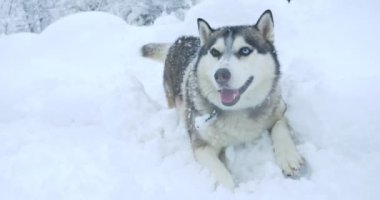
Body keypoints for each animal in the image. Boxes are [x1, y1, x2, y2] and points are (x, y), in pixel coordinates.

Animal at [141, 10, 304, 190]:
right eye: (215, 52)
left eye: (245, 50)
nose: (220, 74)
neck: (238, 110)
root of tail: (179, 40)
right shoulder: (201, 145)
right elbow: (222, 175)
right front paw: (233, 190)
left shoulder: (279, 109)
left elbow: (280, 128)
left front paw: (289, 157)